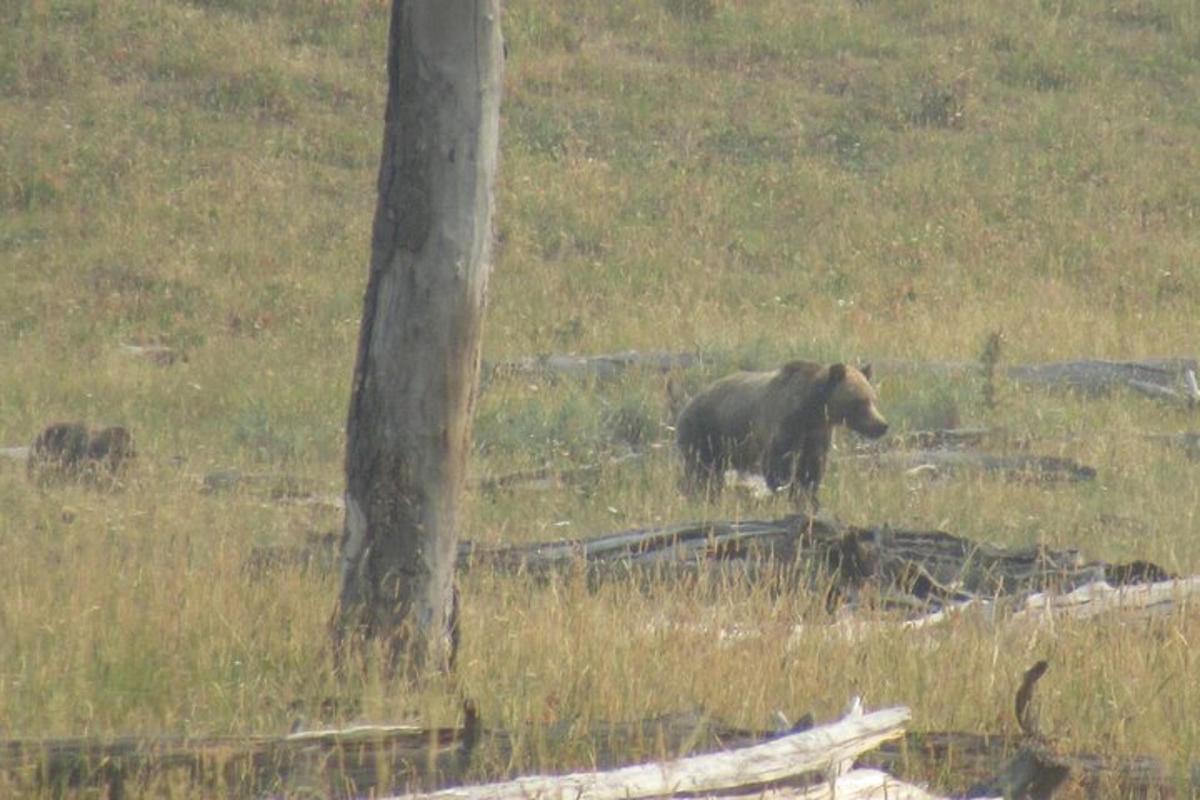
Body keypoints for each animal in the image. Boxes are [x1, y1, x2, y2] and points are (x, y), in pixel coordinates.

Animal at [676, 362, 892, 506]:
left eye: (873, 398)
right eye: (860, 401)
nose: (882, 425)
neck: (812, 410)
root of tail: (687, 403)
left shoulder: (817, 434)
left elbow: (811, 466)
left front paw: (806, 495)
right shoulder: (786, 423)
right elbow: (779, 461)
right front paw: (786, 490)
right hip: (706, 432)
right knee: (701, 471)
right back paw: (698, 495)